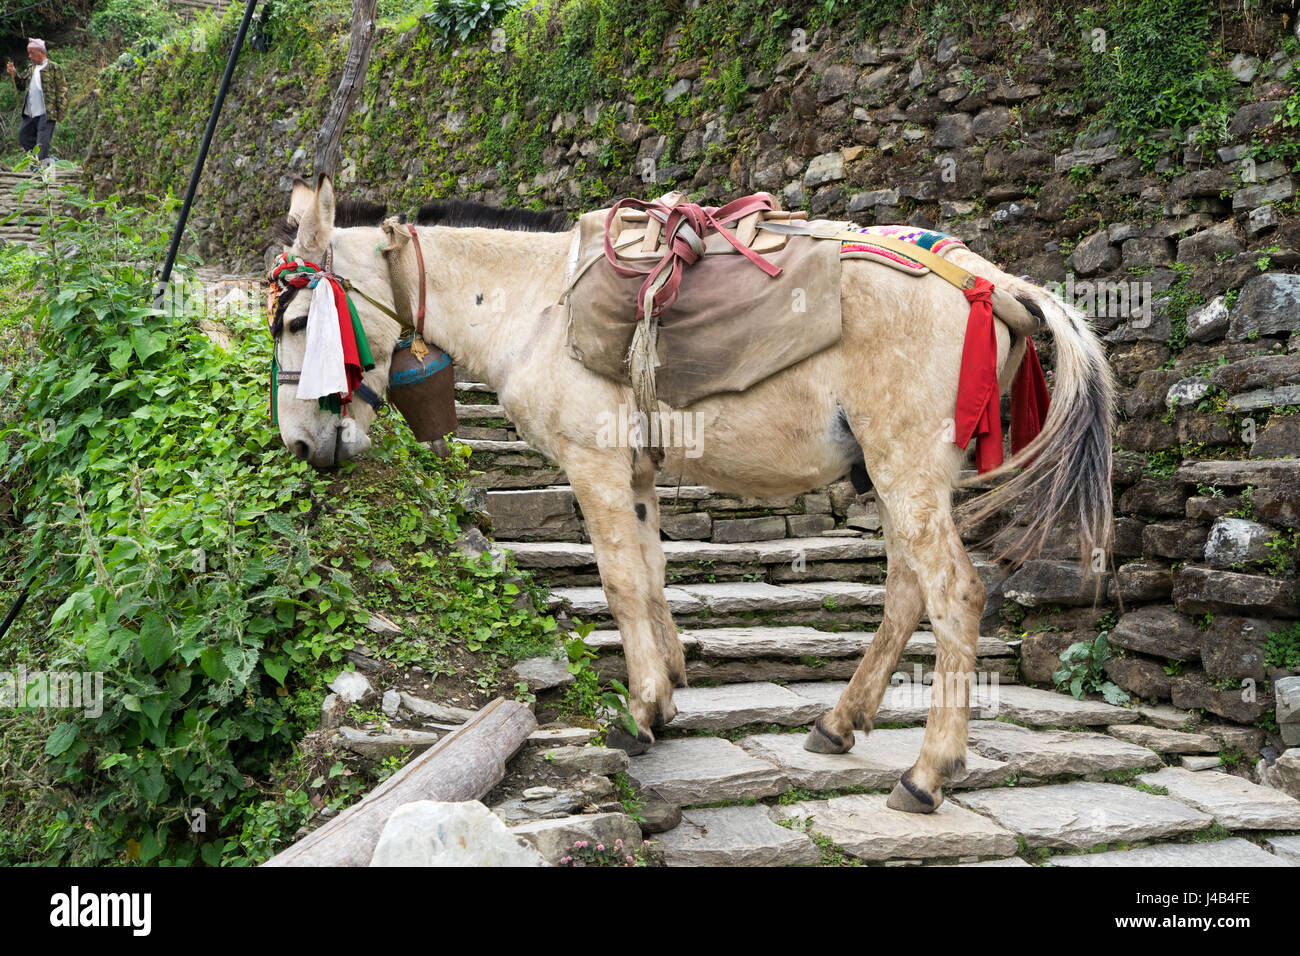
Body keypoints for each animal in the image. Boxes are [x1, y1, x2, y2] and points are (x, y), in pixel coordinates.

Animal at [269, 174, 1114, 813]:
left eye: (301, 321)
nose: (301, 448)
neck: (538, 306)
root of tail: (990, 280)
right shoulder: (636, 473)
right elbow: (650, 574)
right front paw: (670, 690)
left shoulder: (595, 467)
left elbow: (618, 583)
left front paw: (640, 714)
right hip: (903, 474)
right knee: (909, 592)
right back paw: (840, 723)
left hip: (904, 465)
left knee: (954, 594)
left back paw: (928, 772)